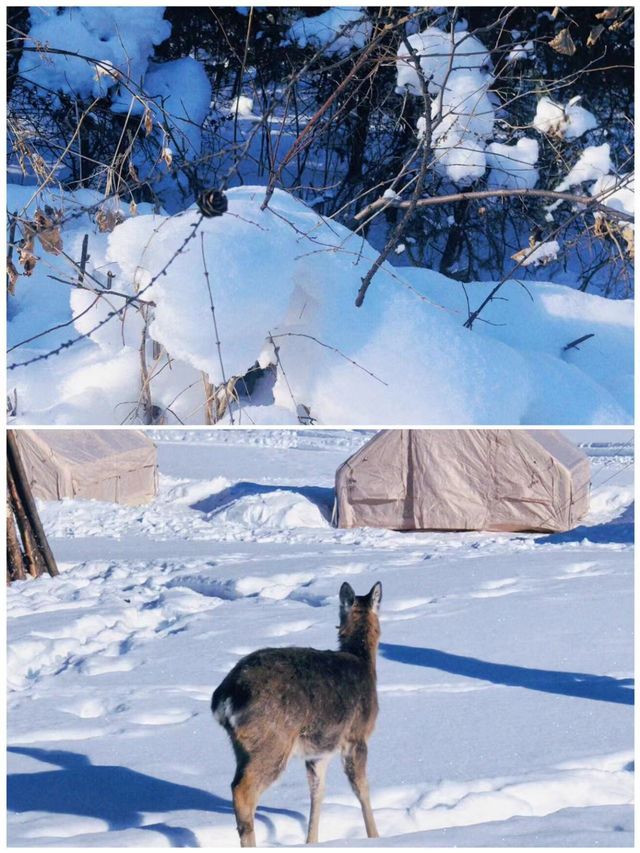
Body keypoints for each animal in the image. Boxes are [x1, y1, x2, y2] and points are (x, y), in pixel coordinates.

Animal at [210, 580, 382, 844]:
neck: (363, 661)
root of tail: (225, 697)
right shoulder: (356, 736)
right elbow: (361, 789)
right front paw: (375, 837)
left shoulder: (319, 750)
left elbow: (317, 792)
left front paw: (311, 841)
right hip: (272, 741)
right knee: (243, 791)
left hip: (242, 746)